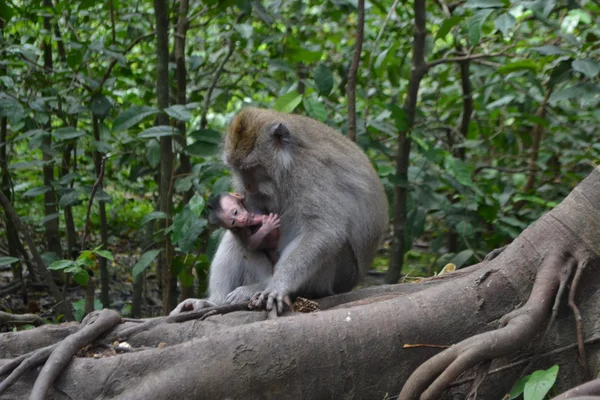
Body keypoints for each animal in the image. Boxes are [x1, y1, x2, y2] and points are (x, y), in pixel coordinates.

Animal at [171, 108, 386, 314]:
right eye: (238, 169)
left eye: (253, 167)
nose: (248, 186)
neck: (288, 162)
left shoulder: (307, 171)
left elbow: (324, 231)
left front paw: (277, 286)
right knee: (238, 240)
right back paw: (213, 301)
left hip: (336, 278)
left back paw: (260, 287)